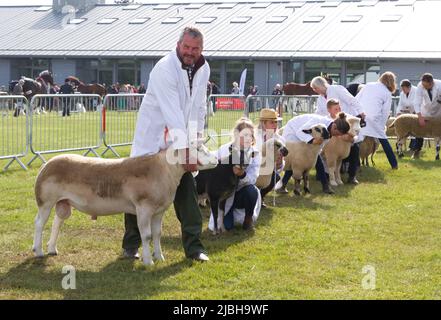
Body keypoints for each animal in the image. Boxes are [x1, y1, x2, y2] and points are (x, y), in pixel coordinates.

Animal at [31, 145, 217, 264]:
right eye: (198, 149)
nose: (216, 158)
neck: (165, 170)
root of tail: (46, 164)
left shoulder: (159, 211)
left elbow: (157, 234)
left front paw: (159, 257)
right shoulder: (143, 208)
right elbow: (147, 236)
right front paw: (148, 261)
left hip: (63, 202)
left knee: (57, 222)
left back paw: (52, 249)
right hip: (46, 201)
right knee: (39, 223)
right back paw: (38, 251)